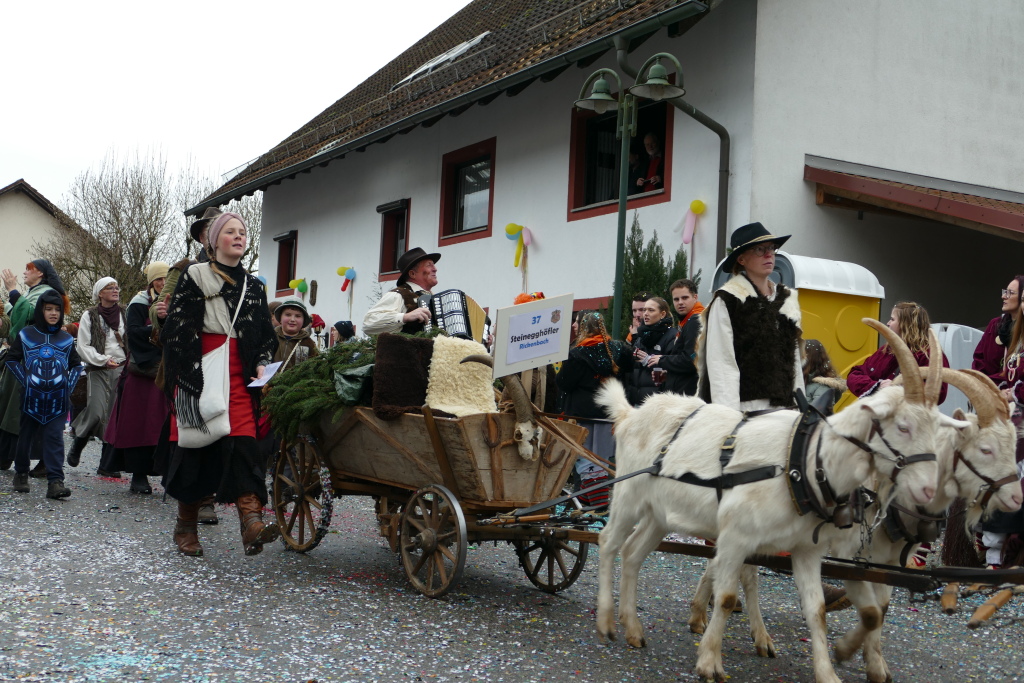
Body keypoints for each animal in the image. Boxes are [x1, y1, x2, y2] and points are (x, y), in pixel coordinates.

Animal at [598, 321, 946, 683]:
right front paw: (710, 662)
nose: (928, 492)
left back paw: (633, 630)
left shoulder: (806, 549)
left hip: (659, 513)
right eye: (903, 426)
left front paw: (827, 672)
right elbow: (726, 598)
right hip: (628, 494)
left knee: (633, 553)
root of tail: (632, 413)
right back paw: (607, 622)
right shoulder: (735, 537)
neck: (802, 462)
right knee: (608, 542)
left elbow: (817, 610)